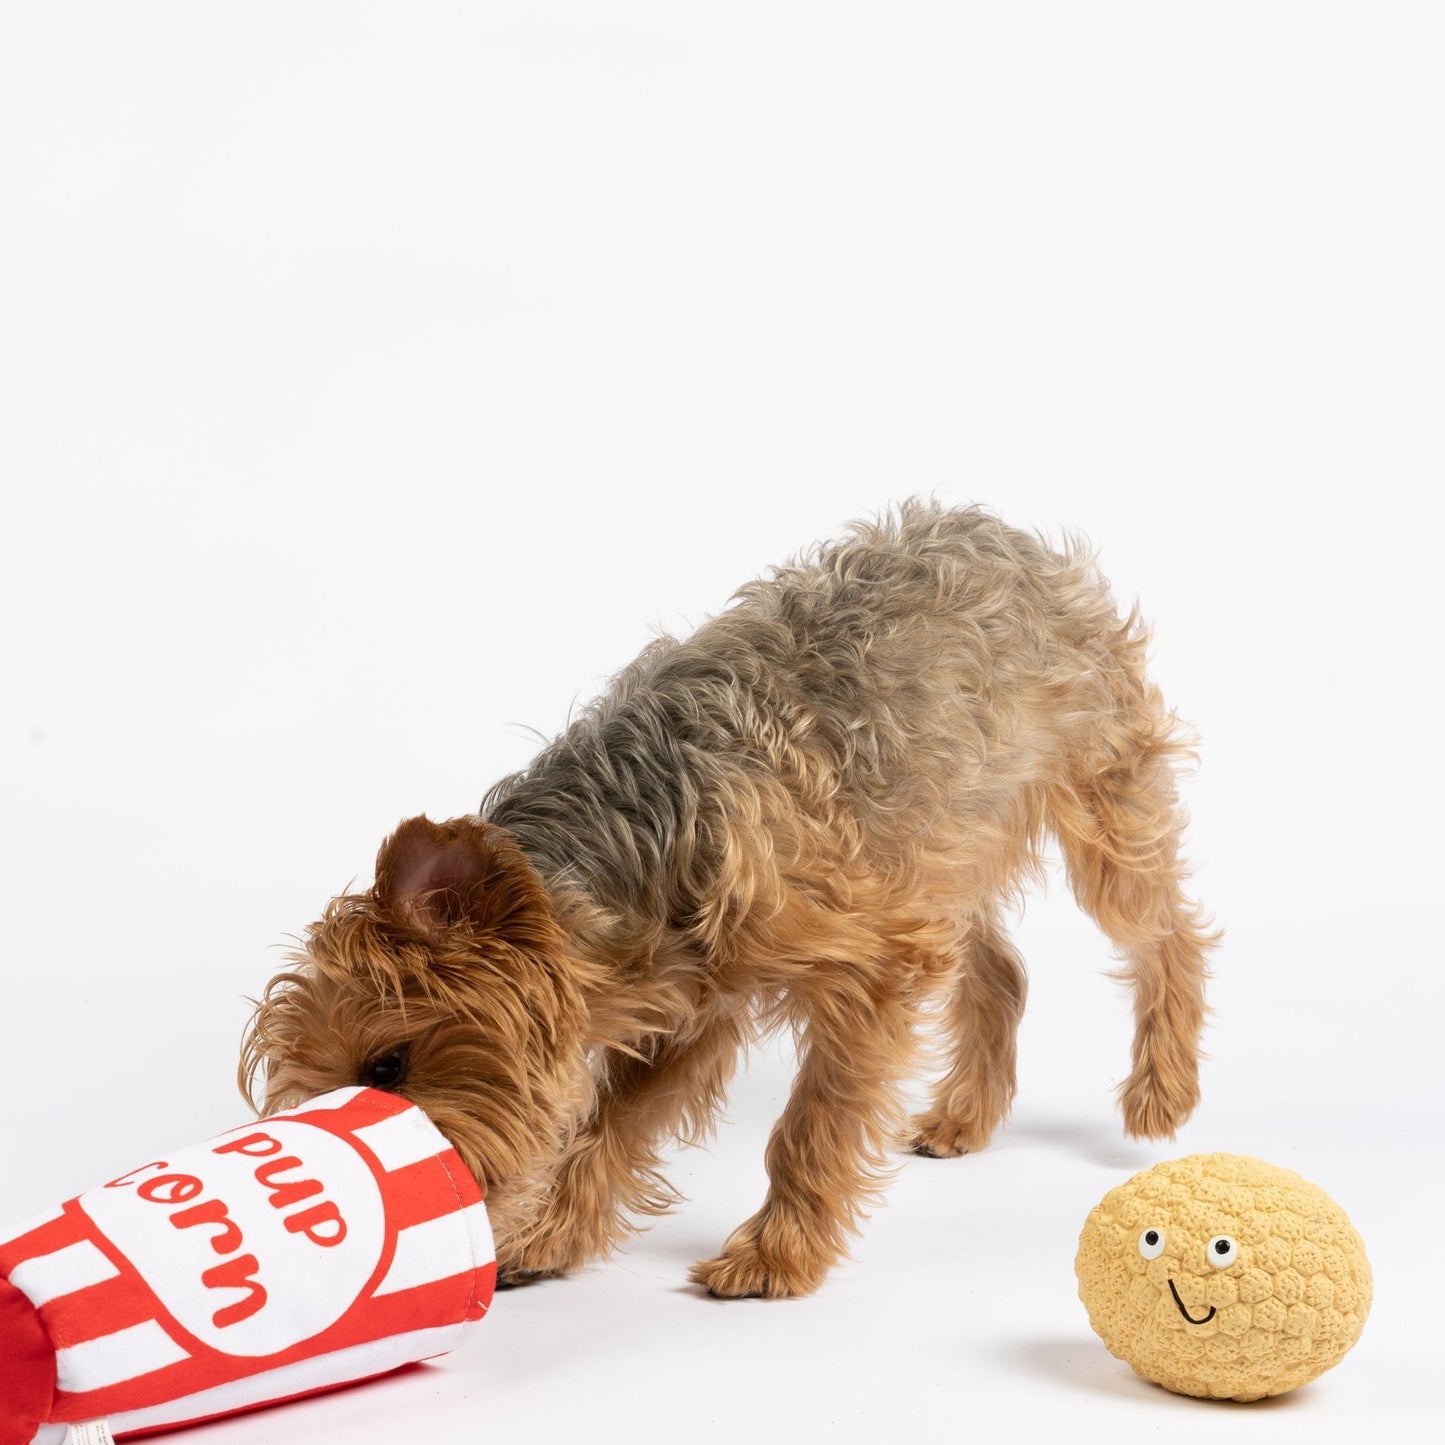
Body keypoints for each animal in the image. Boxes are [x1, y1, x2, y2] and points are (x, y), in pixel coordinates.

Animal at [242, 499, 1213, 1300]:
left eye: (386, 1067)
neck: (637, 843)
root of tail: (1009, 534)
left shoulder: (868, 965)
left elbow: (811, 1123)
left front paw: (774, 1254)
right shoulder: (687, 1002)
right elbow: (609, 1125)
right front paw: (553, 1235)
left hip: (1092, 800)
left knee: (1165, 931)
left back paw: (1161, 1088)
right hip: (940, 844)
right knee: (1001, 967)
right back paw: (967, 1113)